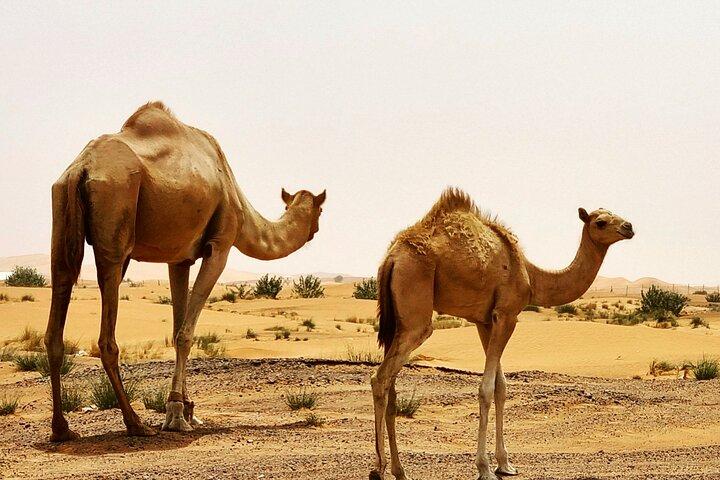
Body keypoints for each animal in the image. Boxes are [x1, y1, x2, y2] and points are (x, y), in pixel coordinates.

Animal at [45, 102, 326, 442]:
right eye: (320, 209)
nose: (316, 229)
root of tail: (81, 168)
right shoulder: (219, 246)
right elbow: (186, 333)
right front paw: (177, 413)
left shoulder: (178, 258)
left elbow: (178, 324)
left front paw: (187, 409)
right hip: (116, 221)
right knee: (106, 336)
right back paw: (134, 423)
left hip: (61, 216)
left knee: (58, 299)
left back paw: (62, 429)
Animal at [369, 188, 634, 480]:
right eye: (601, 222)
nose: (629, 227)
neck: (531, 276)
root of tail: (391, 259)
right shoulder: (507, 315)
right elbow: (486, 389)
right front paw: (484, 468)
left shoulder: (486, 321)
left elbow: (501, 387)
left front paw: (505, 463)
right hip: (416, 308)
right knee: (380, 378)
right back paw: (379, 469)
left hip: (398, 321)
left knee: (391, 384)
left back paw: (400, 470)